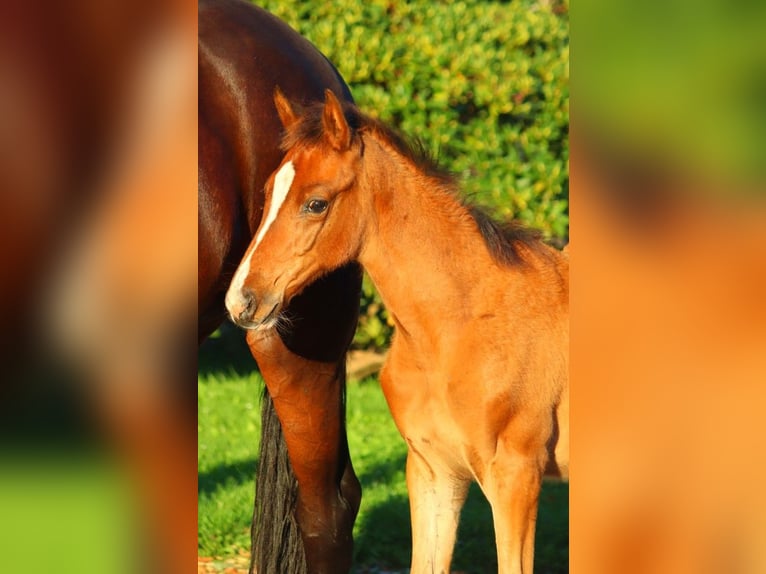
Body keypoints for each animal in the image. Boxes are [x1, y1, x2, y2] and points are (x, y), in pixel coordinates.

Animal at [225, 90, 568, 574]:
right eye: (269, 190)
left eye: (316, 203)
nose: (241, 300)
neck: (461, 326)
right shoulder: (433, 470)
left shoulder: (517, 475)